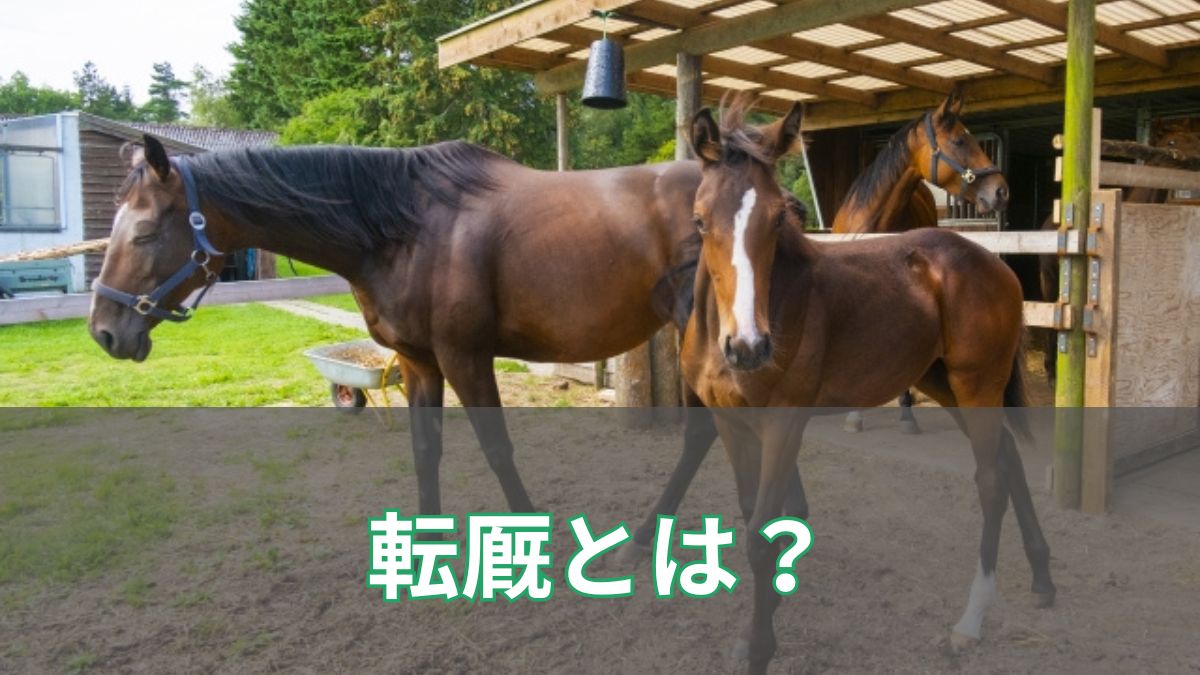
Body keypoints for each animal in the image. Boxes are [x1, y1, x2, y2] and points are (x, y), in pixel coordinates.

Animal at [86, 134, 814, 541]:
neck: (406, 227)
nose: (105, 330)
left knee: (708, 432)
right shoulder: (418, 363)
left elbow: (496, 448)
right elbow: (424, 449)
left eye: (144, 232)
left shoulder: (467, 357)